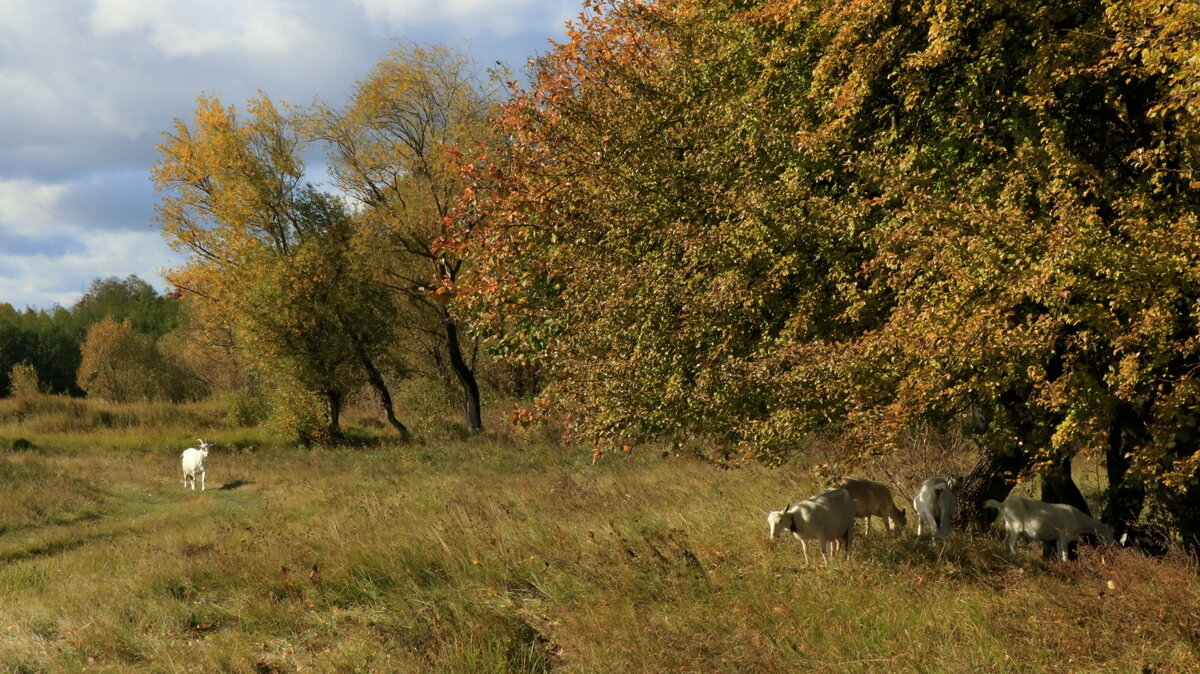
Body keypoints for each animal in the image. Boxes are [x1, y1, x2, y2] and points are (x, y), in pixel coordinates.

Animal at [984, 491, 1113, 558]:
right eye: (1113, 532)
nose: (1113, 544)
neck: (1078, 519)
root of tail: (1001, 505)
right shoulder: (1064, 536)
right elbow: (1065, 554)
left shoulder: (1058, 537)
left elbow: (1060, 553)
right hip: (1016, 526)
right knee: (1011, 543)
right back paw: (1016, 556)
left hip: (1008, 526)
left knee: (1005, 541)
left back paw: (1005, 555)